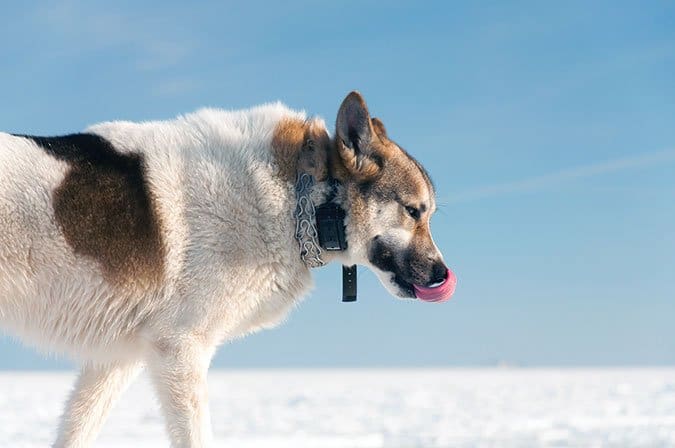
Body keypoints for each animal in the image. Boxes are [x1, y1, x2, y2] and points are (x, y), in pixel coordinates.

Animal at [0, 90, 456, 444]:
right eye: (414, 211)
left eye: (427, 214)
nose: (443, 276)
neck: (299, 197)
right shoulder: (181, 350)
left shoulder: (118, 358)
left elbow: (77, 428)